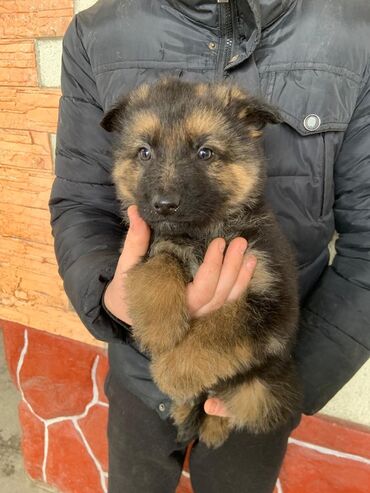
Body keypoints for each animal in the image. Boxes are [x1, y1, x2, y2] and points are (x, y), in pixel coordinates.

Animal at [100, 78, 300, 450]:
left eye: (204, 153)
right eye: (144, 153)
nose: (164, 205)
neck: (202, 235)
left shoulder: (270, 302)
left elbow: (221, 326)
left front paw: (173, 371)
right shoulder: (149, 245)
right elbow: (160, 263)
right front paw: (159, 327)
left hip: (262, 391)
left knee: (227, 401)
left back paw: (212, 423)